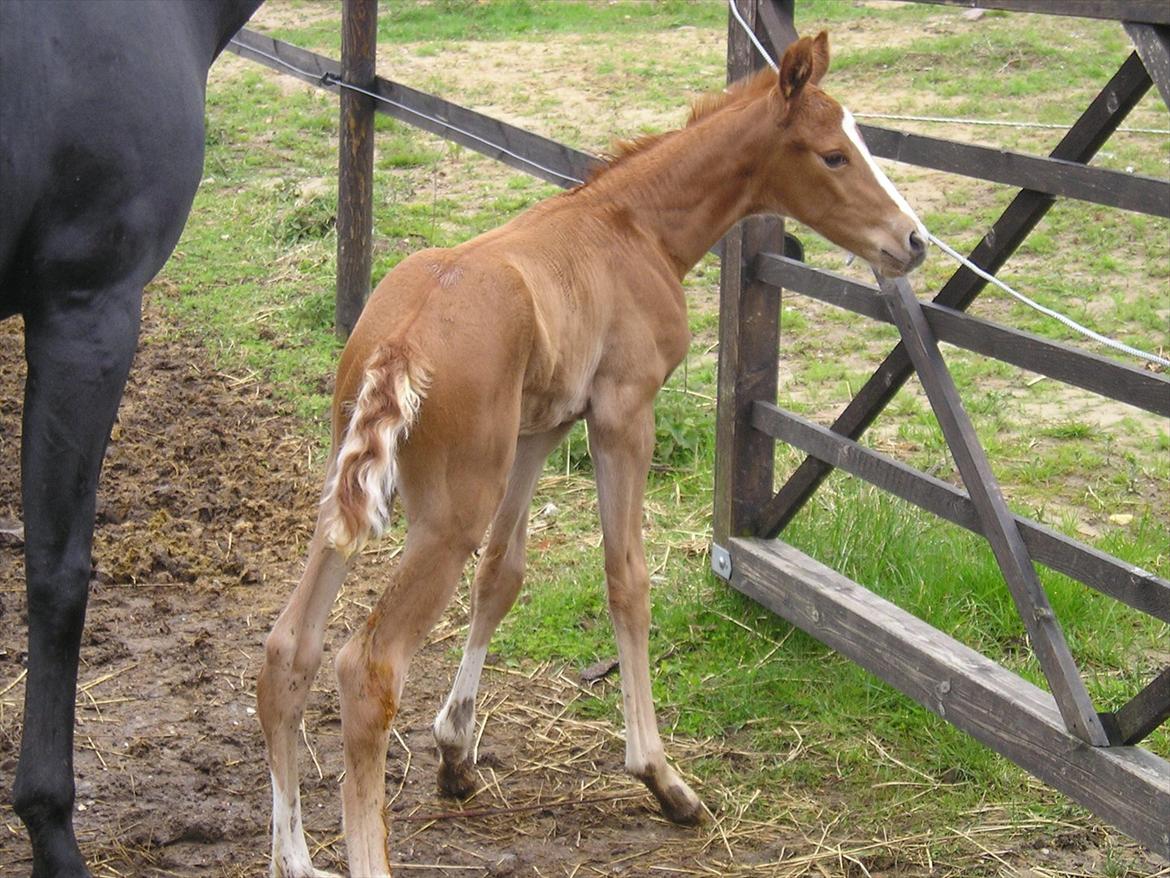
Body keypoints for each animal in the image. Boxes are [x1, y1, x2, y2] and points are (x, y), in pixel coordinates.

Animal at [256, 31, 921, 875]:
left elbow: (502, 576)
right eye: (834, 155)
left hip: (349, 488)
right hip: (447, 513)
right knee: (365, 667)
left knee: (290, 647)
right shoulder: (622, 412)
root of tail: (398, 343)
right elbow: (626, 577)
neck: (633, 225)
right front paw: (662, 778)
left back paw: (294, 856)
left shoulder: (541, 429)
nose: (912, 241)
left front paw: (456, 753)